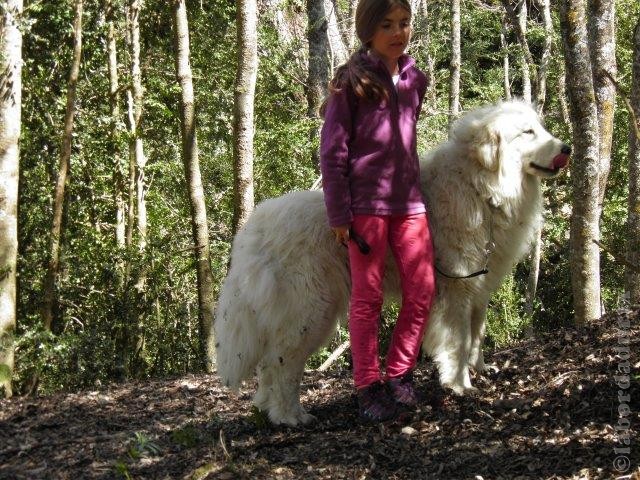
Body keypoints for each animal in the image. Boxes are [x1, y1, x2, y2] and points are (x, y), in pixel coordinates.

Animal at [215, 100, 568, 424]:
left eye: (540, 128)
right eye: (528, 132)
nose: (567, 147)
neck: (481, 189)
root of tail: (253, 229)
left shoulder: (479, 287)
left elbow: (476, 334)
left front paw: (479, 368)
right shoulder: (456, 289)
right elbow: (459, 340)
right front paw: (459, 385)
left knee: (268, 365)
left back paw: (267, 409)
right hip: (311, 311)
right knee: (282, 362)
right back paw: (291, 415)